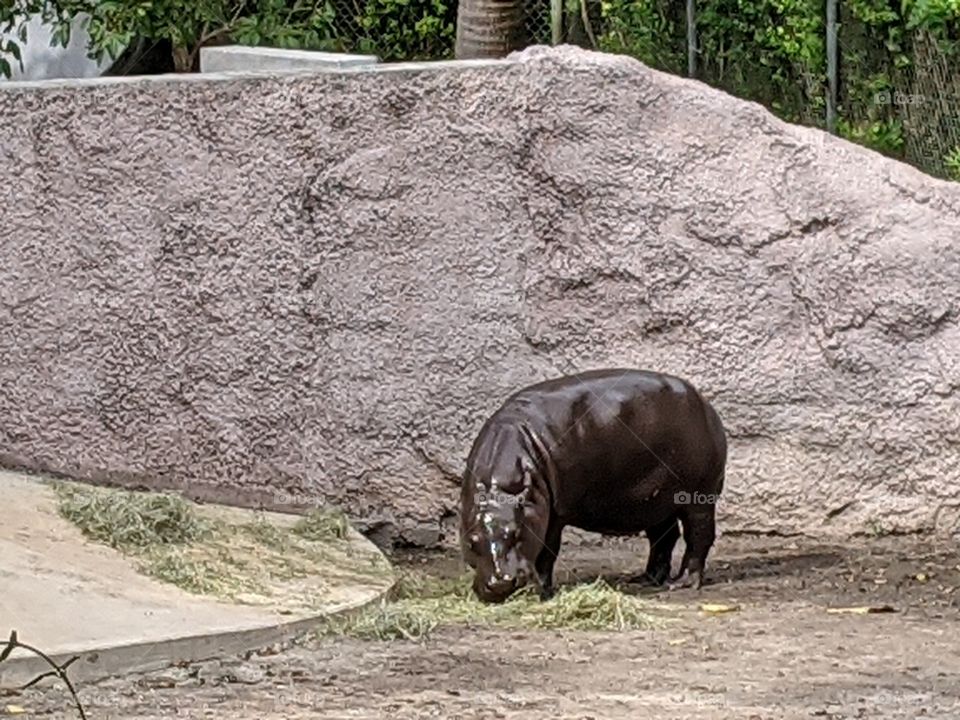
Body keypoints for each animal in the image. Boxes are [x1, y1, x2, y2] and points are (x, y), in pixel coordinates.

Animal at [459, 368, 727, 604]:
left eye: (516, 532)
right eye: (471, 542)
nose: (500, 584)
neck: (499, 488)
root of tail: (704, 402)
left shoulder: (554, 514)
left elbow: (547, 552)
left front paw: (543, 593)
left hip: (698, 497)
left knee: (698, 536)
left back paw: (682, 583)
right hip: (655, 500)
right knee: (663, 537)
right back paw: (645, 579)